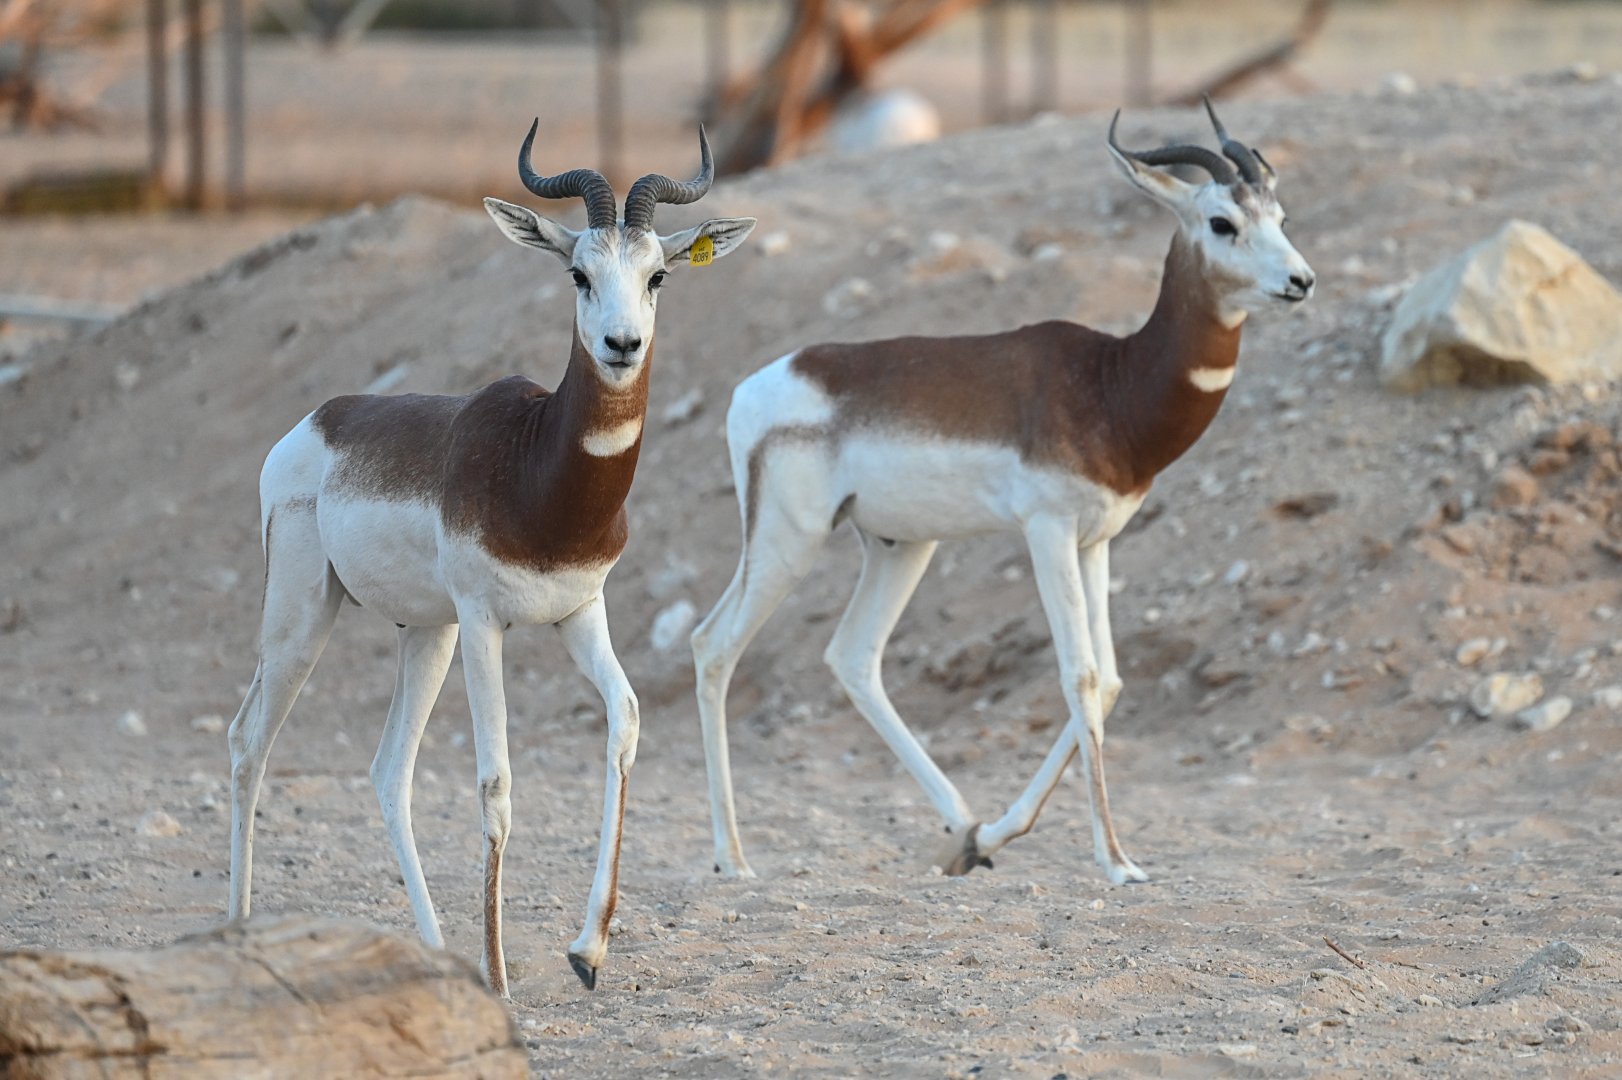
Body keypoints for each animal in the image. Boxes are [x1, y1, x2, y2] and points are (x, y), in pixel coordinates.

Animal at [226, 122, 756, 996]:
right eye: (579, 273)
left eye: (658, 276)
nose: (621, 344)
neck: (537, 469)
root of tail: (318, 420)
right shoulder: (485, 623)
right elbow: (497, 781)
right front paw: (504, 978)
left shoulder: (579, 612)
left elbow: (626, 720)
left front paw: (587, 951)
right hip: (303, 616)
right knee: (248, 741)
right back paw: (235, 929)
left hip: (424, 634)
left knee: (388, 769)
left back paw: (434, 951)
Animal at [691, 101, 1313, 884]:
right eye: (1222, 222)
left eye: (1280, 215)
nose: (1301, 280)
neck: (1110, 384)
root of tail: (751, 388)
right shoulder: (1046, 531)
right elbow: (1080, 675)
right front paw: (1117, 862)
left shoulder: (1097, 540)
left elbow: (1110, 681)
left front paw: (997, 834)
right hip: (788, 541)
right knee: (713, 646)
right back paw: (732, 859)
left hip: (899, 546)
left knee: (851, 655)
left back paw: (961, 829)